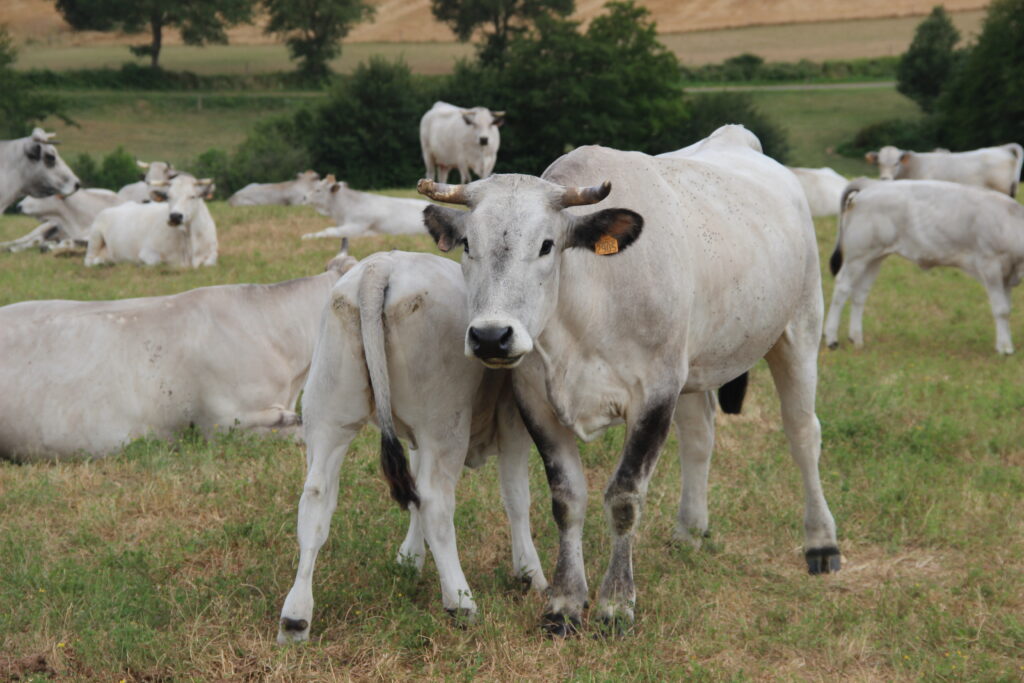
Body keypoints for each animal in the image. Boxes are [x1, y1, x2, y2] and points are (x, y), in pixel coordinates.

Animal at [84, 176, 218, 268]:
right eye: (168, 196)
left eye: (192, 196)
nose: (175, 216)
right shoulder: (146, 252)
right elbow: (158, 262)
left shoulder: (212, 252)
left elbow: (209, 263)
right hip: (95, 236)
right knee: (89, 260)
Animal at [277, 251, 547, 644]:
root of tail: (380, 267)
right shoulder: (512, 422)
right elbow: (516, 498)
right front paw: (530, 573)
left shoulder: (418, 439)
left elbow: (414, 488)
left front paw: (410, 558)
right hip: (444, 425)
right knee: (436, 500)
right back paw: (460, 602)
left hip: (327, 417)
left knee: (316, 499)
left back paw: (296, 617)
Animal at [416, 124, 841, 635]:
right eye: (466, 244)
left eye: (546, 245)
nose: (491, 337)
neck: (585, 309)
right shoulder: (537, 401)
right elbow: (567, 499)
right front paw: (565, 603)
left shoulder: (654, 395)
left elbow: (623, 497)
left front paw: (616, 604)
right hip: (694, 365)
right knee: (699, 438)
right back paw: (689, 531)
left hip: (798, 327)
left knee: (803, 433)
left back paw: (821, 542)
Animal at [824, 178, 1024, 355]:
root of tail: (871, 184)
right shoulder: (991, 265)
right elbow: (1001, 309)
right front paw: (1006, 349)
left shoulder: (1007, 274)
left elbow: (1007, 308)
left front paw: (1003, 345)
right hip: (857, 256)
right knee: (842, 288)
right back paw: (831, 339)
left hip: (874, 257)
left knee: (860, 293)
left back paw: (857, 339)